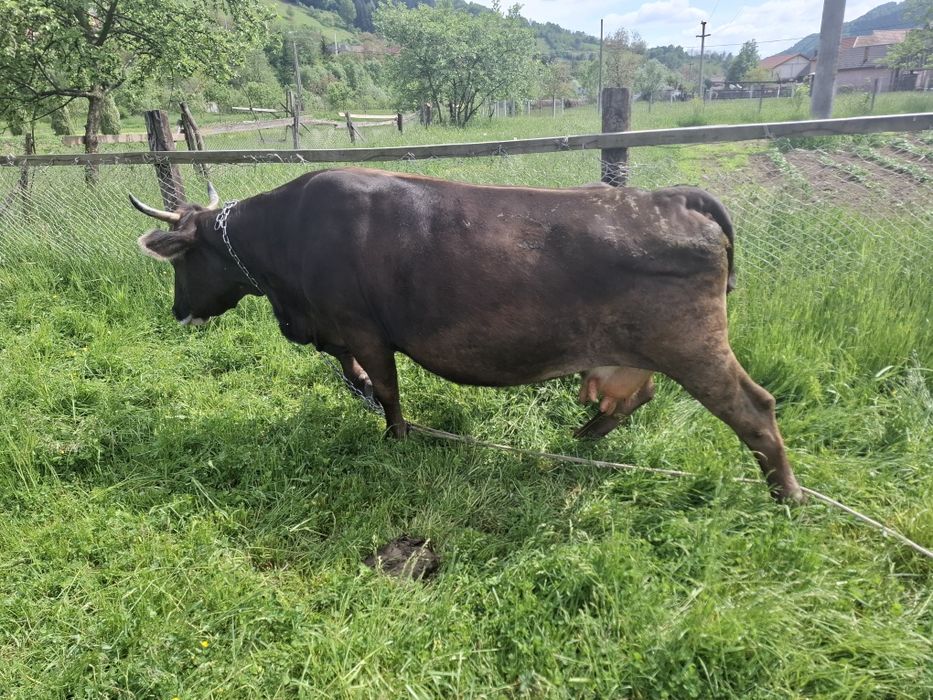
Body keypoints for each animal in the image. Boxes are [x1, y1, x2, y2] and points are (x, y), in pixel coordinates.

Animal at [130, 167, 803, 502]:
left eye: (182, 261)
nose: (177, 312)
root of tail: (675, 197)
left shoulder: (364, 330)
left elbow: (389, 391)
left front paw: (395, 438)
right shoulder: (339, 333)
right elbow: (358, 377)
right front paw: (365, 398)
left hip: (694, 346)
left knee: (755, 408)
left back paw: (788, 495)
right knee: (636, 396)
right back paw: (583, 435)